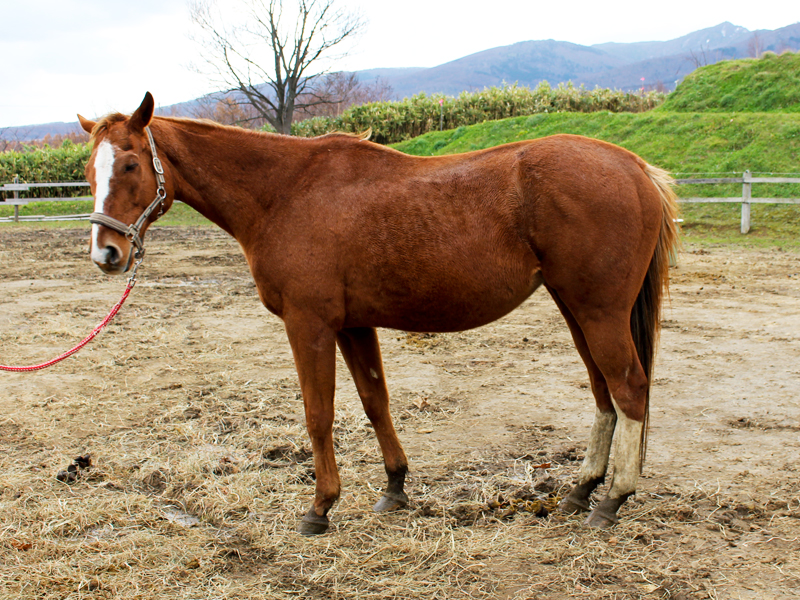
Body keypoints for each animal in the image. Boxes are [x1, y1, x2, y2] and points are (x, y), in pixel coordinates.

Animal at [78, 90, 680, 536]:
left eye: (130, 163)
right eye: (88, 170)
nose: (107, 253)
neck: (285, 192)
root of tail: (635, 167)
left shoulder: (309, 325)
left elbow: (318, 414)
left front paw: (319, 508)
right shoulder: (353, 324)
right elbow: (375, 402)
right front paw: (395, 487)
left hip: (598, 312)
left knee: (628, 389)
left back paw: (613, 500)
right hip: (578, 310)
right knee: (604, 393)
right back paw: (581, 491)